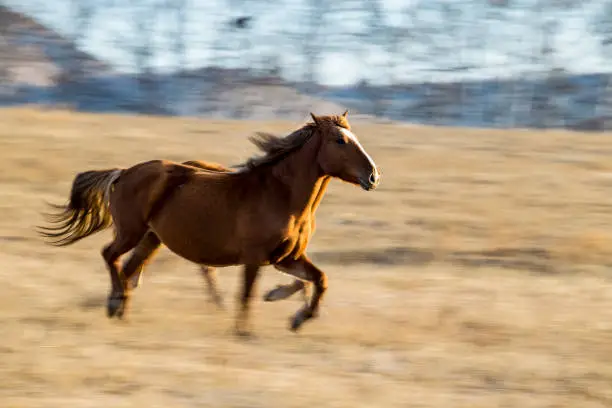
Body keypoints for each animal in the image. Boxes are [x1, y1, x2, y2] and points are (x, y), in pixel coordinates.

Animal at [38, 110, 378, 334]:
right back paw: (113, 304)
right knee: (110, 257)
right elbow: (246, 295)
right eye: (339, 140)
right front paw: (244, 332)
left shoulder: (286, 257)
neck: (282, 197)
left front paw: (296, 316)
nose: (373, 176)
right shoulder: (255, 258)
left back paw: (122, 313)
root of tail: (123, 173)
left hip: (151, 239)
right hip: (131, 232)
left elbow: (319, 279)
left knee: (128, 269)